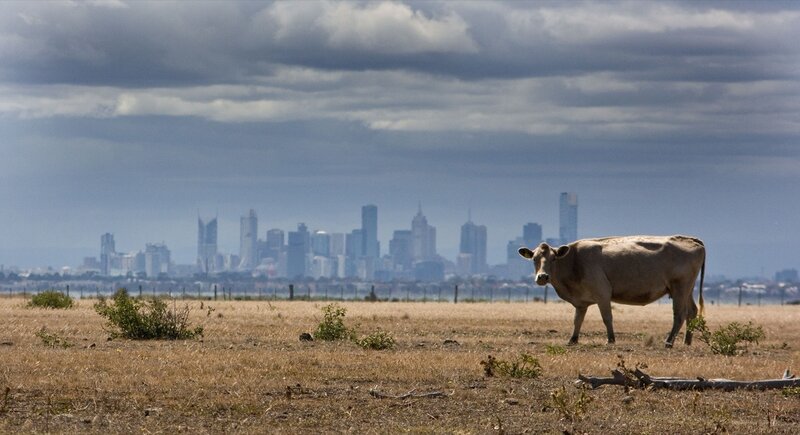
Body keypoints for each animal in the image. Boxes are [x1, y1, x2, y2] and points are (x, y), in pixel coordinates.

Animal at [518, 235, 705, 348]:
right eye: (534, 259)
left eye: (553, 258)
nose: (542, 277)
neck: (574, 261)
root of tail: (691, 239)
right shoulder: (581, 302)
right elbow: (577, 320)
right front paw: (572, 340)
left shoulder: (603, 294)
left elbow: (607, 318)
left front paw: (611, 339)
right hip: (687, 289)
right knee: (692, 312)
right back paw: (687, 341)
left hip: (680, 288)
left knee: (679, 315)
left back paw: (669, 342)